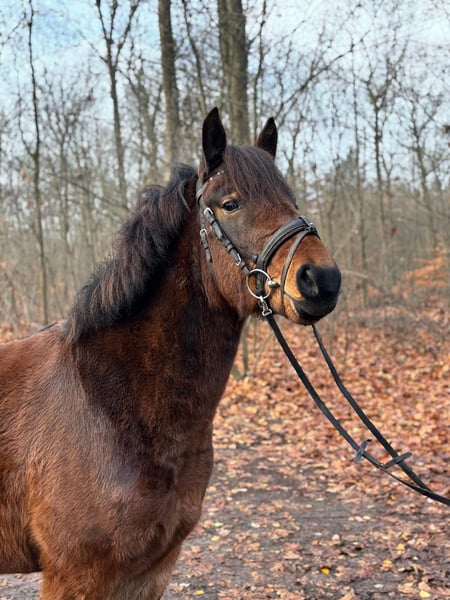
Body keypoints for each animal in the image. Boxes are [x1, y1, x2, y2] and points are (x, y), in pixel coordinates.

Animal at [0, 108, 341, 599]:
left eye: (291, 199)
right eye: (230, 203)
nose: (322, 279)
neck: (109, 404)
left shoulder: (150, 571)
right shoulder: (74, 575)